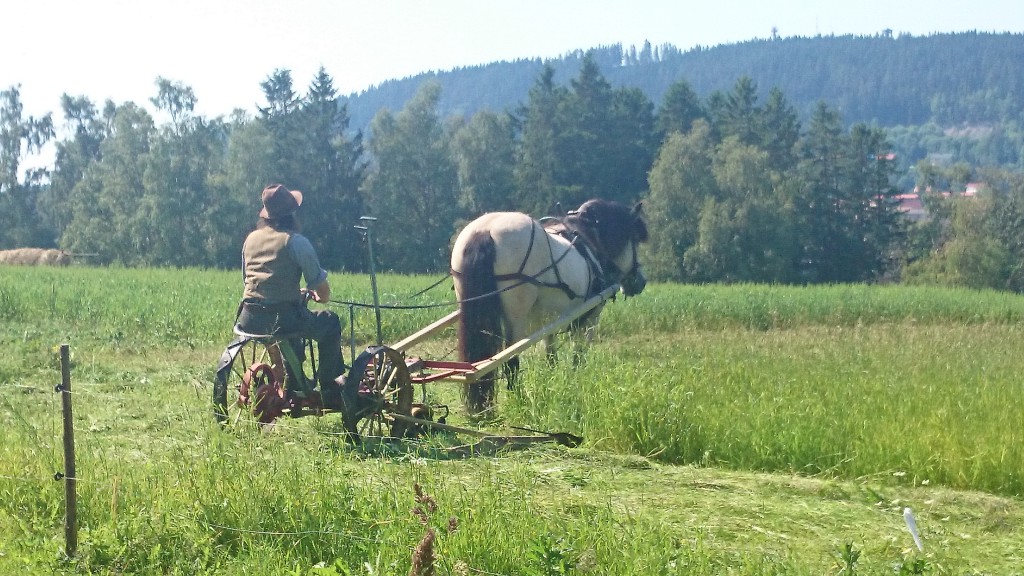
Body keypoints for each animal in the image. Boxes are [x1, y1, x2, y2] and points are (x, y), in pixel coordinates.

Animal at [450, 196, 647, 412]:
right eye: (634, 240)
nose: (641, 282)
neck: (590, 241)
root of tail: (485, 230)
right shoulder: (589, 319)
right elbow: (579, 357)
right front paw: (576, 383)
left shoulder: (548, 321)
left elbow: (551, 357)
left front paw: (552, 384)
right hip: (516, 317)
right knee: (511, 360)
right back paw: (517, 400)